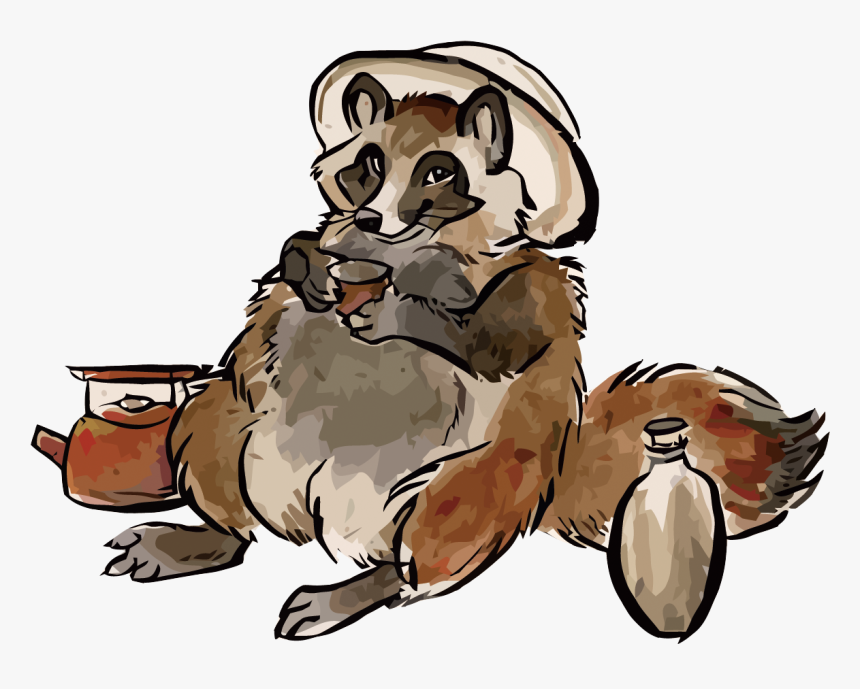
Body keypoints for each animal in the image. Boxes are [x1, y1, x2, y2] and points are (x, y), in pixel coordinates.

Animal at [102, 45, 825, 641]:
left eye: (437, 172)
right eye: (371, 164)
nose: (374, 218)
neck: (405, 248)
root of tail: (318, 524)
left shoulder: (530, 285)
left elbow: (492, 342)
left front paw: (399, 309)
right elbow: (295, 260)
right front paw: (308, 266)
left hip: (470, 484)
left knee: (426, 546)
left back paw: (366, 584)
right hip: (226, 424)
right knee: (216, 435)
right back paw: (216, 535)